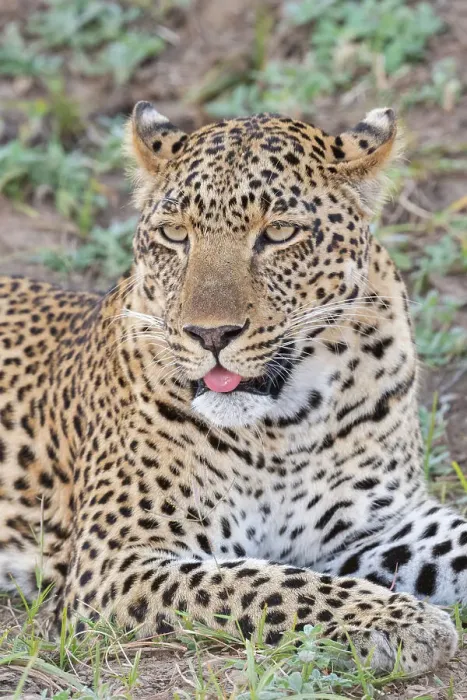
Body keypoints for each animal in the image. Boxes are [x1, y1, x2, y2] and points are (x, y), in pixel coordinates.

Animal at [0, 101, 465, 675]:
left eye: (280, 233)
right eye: (175, 235)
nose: (211, 334)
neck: (285, 425)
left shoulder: (384, 522)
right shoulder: (117, 561)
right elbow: (269, 583)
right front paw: (404, 620)